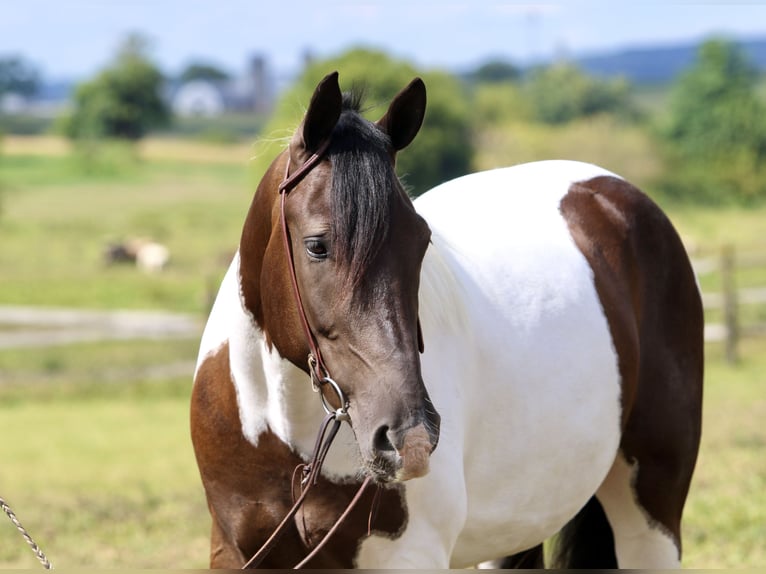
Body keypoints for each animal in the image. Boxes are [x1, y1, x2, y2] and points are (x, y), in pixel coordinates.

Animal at [190, 71, 703, 569]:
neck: (281, 433)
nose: (408, 438)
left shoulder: (409, 556)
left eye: (421, 241)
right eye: (317, 245)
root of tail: (608, 193)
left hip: (651, 517)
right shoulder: (232, 552)